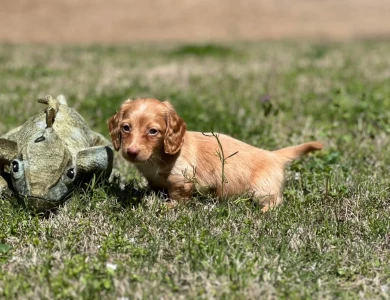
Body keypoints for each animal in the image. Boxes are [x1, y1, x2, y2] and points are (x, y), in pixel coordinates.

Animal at [107, 98, 322, 211]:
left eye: (153, 131)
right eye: (126, 128)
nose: (131, 152)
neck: (156, 158)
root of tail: (273, 155)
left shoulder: (182, 178)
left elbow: (178, 196)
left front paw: (167, 205)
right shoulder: (153, 179)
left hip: (262, 189)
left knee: (275, 201)